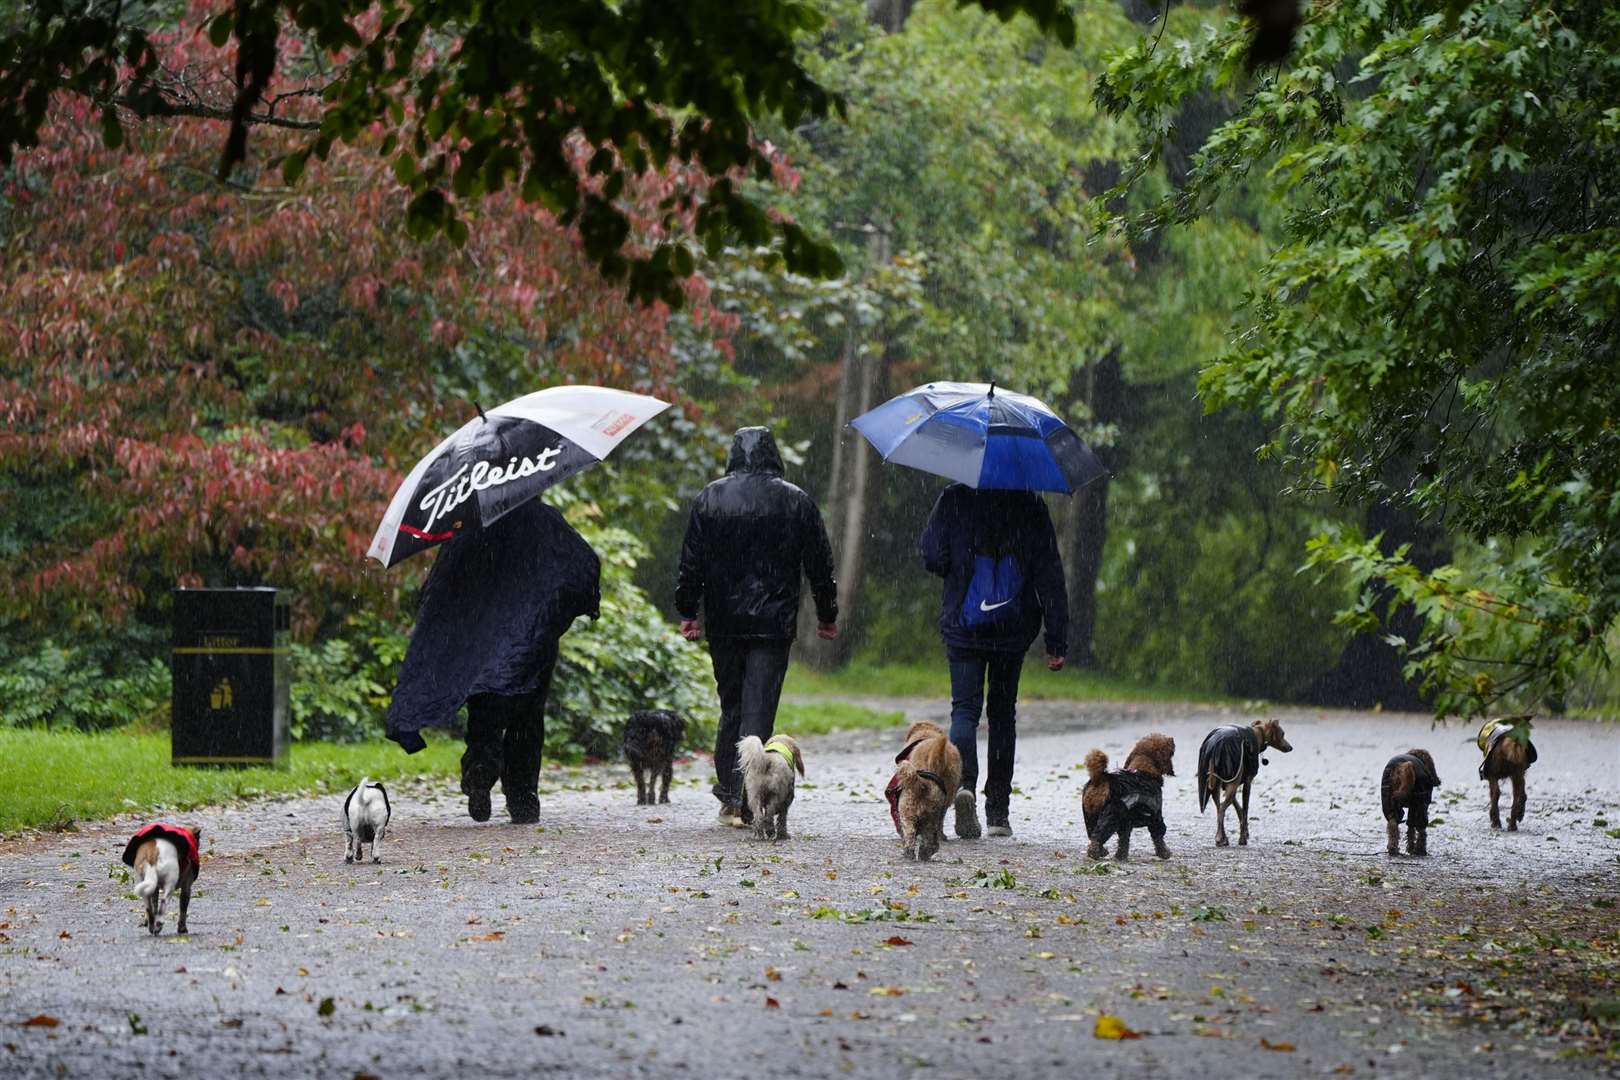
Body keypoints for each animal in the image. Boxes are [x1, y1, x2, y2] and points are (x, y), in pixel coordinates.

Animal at [887, 722, 959, 867]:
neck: (926, 733)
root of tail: (923, 784)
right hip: (931, 816)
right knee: (930, 838)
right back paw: (927, 852)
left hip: (907, 813)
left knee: (910, 836)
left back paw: (909, 854)